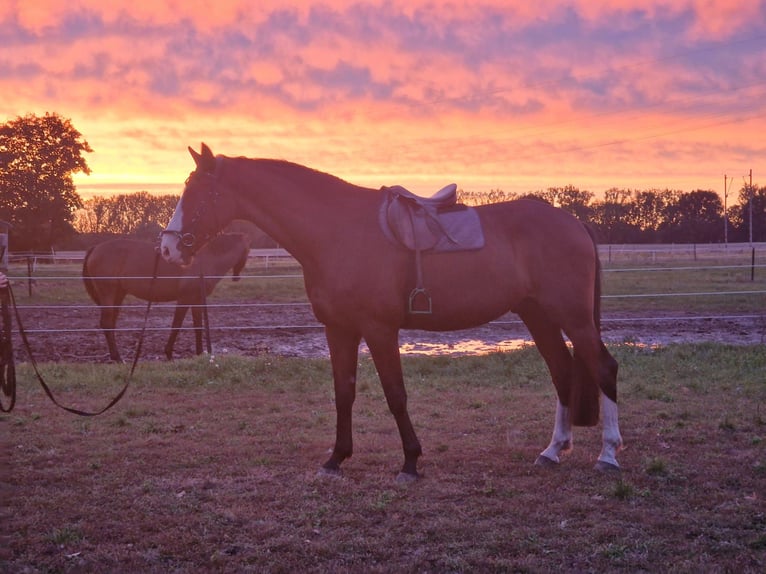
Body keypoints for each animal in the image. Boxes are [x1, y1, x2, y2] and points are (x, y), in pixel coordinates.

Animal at [84, 233, 252, 360]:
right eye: (247, 251)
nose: (236, 277)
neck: (203, 262)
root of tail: (96, 248)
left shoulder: (196, 300)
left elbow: (197, 326)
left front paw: (199, 353)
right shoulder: (184, 299)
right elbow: (176, 324)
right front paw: (169, 353)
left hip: (118, 295)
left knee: (110, 323)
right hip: (109, 293)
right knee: (107, 323)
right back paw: (118, 358)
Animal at [160, 143, 624, 482]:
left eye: (199, 192)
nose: (166, 249)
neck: (337, 230)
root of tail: (572, 222)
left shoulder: (379, 330)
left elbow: (395, 394)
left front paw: (411, 463)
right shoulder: (339, 329)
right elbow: (343, 392)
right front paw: (335, 459)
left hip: (572, 316)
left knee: (603, 367)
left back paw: (608, 455)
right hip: (538, 314)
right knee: (562, 371)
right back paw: (552, 451)